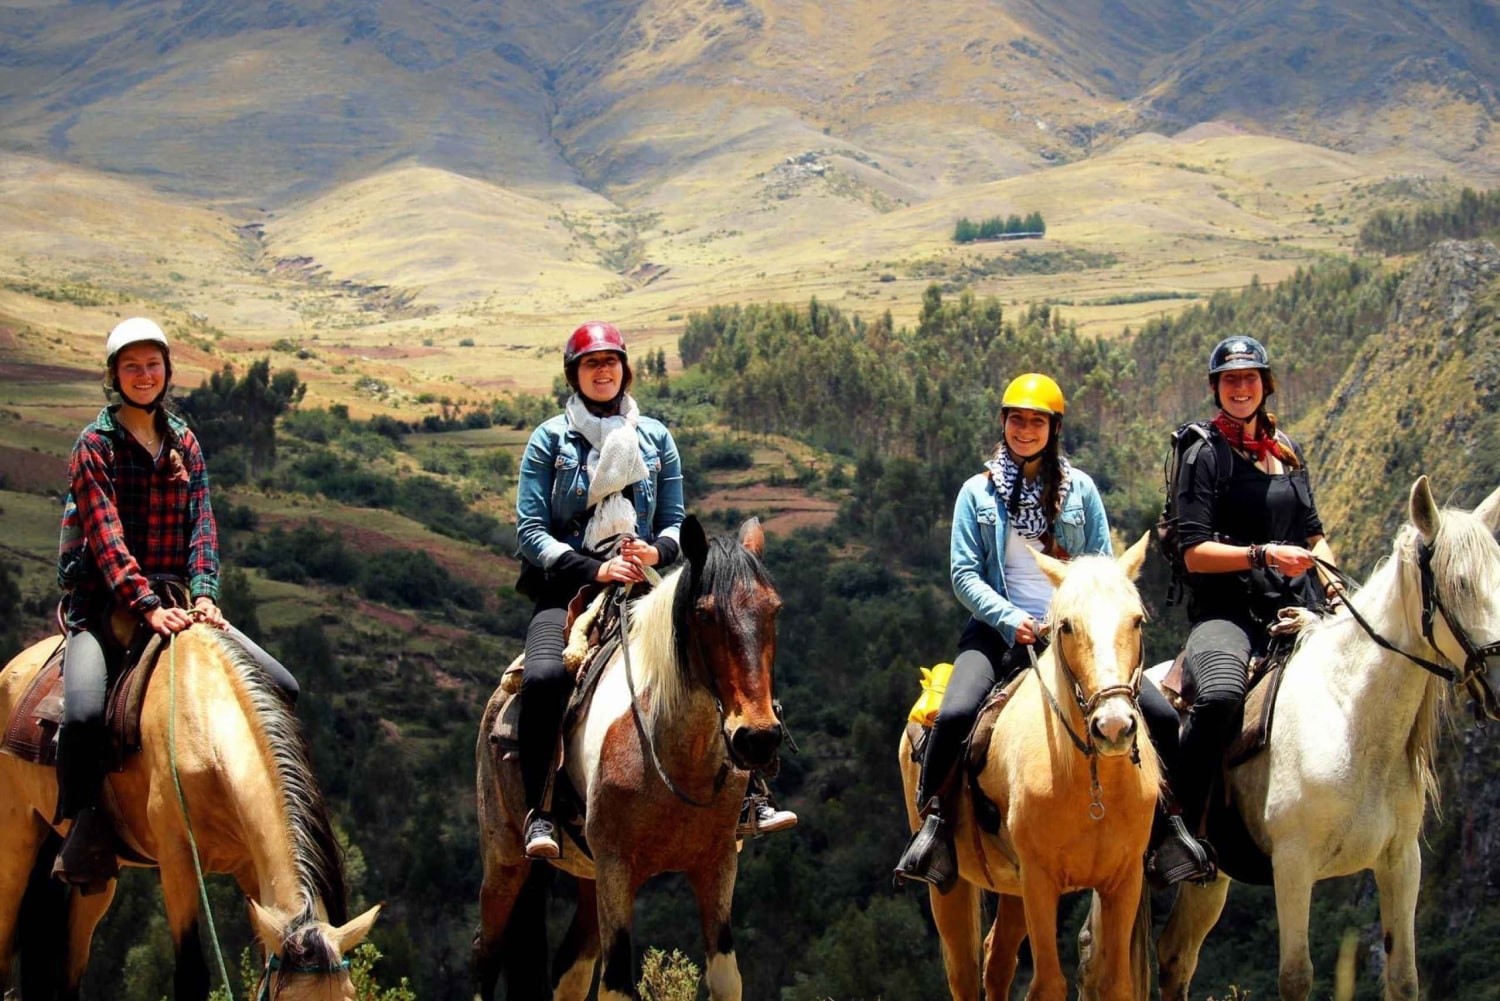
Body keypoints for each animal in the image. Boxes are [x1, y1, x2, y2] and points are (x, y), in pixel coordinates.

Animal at [0, 627, 381, 1001]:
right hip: (16, 843)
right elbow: (191, 974)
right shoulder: (177, 861)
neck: (205, 725)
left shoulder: (250, 868)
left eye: (350, 997)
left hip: (95, 874)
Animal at [474, 516, 786, 1001]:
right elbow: (617, 985)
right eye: (705, 614)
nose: (757, 738)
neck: (676, 761)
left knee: (570, 969)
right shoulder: (617, 869)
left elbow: (724, 977)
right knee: (485, 958)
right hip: (505, 863)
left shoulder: (717, 865)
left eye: (773, 610)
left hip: (587, 876)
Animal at [894, 537, 1164, 996]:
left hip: (1012, 889)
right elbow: (1048, 986)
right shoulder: (1040, 884)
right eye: (1067, 626)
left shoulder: (1123, 882)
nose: (1113, 726)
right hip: (951, 887)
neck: (1093, 788)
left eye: (1137, 622)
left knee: (996, 961)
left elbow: (1116, 984)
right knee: (964, 972)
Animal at [1092, 477, 1500, 1001]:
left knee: (1175, 956)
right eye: (1460, 584)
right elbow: (1295, 977)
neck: (1349, 718)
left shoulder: (1401, 862)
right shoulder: (1293, 865)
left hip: (1211, 879)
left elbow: (1404, 978)